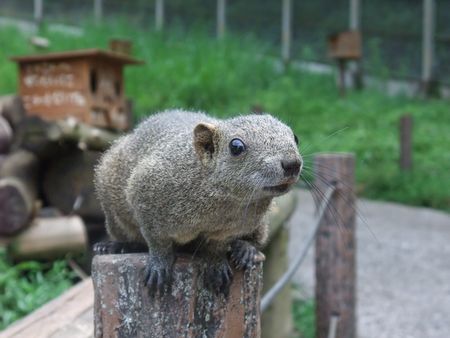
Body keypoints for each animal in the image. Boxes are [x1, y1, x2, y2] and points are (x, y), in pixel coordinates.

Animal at [92, 109, 300, 294]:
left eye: (296, 137)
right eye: (236, 147)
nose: (293, 163)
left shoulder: (228, 230)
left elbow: (217, 247)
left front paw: (216, 265)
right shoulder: (144, 191)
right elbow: (157, 240)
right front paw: (159, 265)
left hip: (260, 223)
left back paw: (245, 249)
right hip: (113, 209)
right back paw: (113, 246)